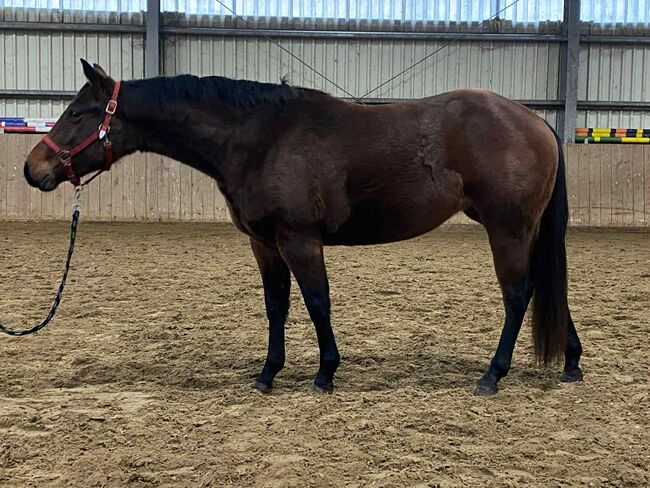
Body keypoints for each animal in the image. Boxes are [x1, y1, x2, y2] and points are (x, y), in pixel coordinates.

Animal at [24, 59, 583, 396]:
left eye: (78, 113)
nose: (33, 170)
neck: (259, 138)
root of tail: (535, 121)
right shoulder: (265, 244)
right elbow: (277, 306)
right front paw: (268, 373)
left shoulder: (299, 239)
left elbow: (317, 302)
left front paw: (325, 372)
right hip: (526, 232)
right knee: (546, 288)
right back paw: (571, 363)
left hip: (507, 230)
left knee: (518, 295)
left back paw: (492, 375)